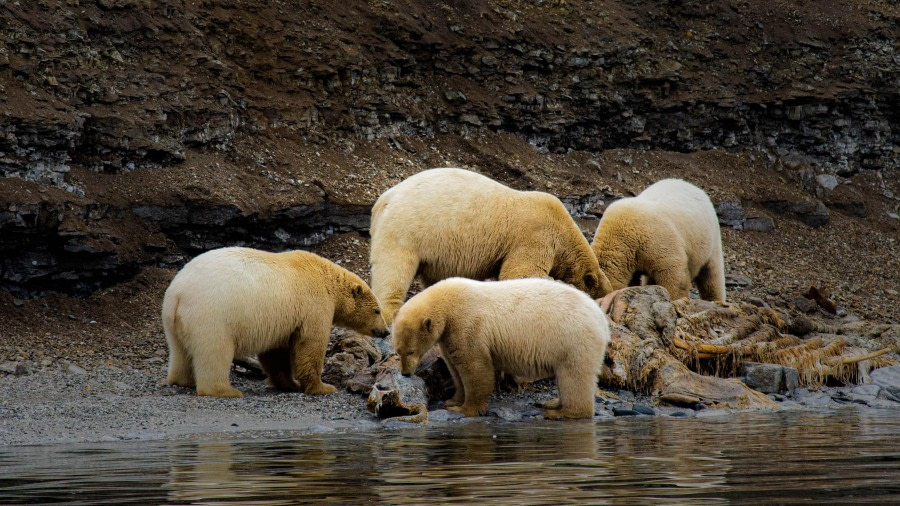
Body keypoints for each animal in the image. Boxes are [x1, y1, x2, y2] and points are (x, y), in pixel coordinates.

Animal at [162, 247, 386, 398]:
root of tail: (178, 293)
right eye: (377, 310)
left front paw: (289, 384)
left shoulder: (282, 318)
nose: (384, 331)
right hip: (211, 315)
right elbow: (310, 342)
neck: (325, 276)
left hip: (174, 320)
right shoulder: (314, 303)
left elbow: (276, 351)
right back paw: (225, 390)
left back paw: (183, 380)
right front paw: (322, 387)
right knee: (215, 351)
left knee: (180, 350)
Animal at [368, 168, 612, 322]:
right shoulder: (534, 235)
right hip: (406, 228)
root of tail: (383, 201)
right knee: (393, 269)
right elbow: (519, 272)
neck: (563, 228)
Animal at [394, 276, 612, 420]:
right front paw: (453, 401)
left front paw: (464, 409)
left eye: (411, 351)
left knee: (573, 375)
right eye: (398, 352)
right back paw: (553, 403)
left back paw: (561, 412)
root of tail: (601, 318)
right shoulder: (449, 334)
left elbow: (475, 367)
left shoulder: (468, 323)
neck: (448, 301)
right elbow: (455, 367)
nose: (405, 373)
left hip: (573, 337)